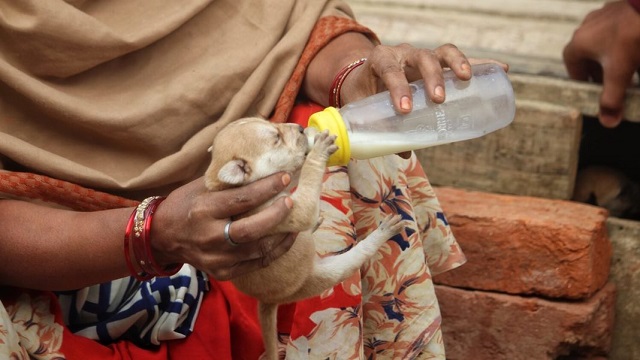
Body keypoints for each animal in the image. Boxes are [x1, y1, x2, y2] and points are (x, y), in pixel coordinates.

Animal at [205, 119, 404, 360]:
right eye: (276, 138)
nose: (300, 127)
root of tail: (268, 301)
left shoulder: (282, 182)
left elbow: (295, 174)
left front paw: (313, 139)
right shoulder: (287, 210)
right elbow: (308, 179)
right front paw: (318, 149)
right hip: (324, 274)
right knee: (357, 254)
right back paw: (383, 232)